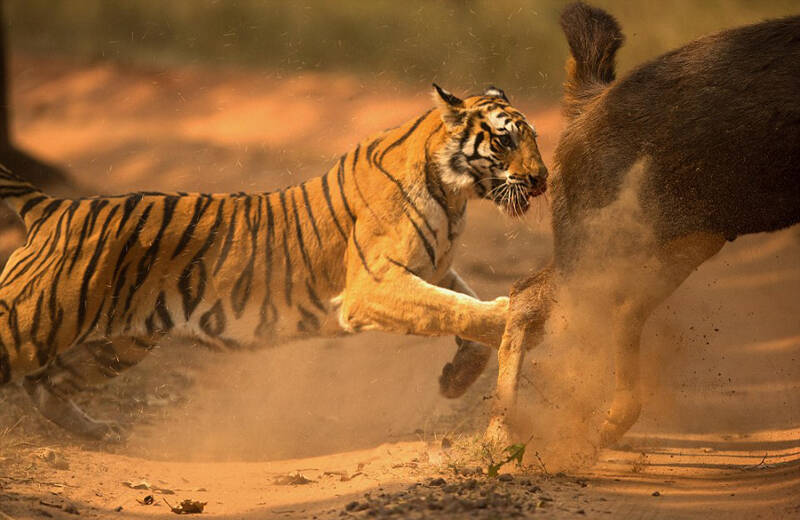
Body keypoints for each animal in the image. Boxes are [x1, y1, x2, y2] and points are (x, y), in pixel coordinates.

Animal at [0, 84, 548, 438]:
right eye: (505, 139)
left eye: (535, 138)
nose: (543, 179)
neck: (455, 196)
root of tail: (53, 207)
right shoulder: (373, 285)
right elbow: (457, 308)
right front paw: (518, 317)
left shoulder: (428, 269)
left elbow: (461, 305)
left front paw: (455, 380)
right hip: (33, 323)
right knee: (30, 372)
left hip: (119, 342)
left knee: (47, 385)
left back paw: (99, 431)